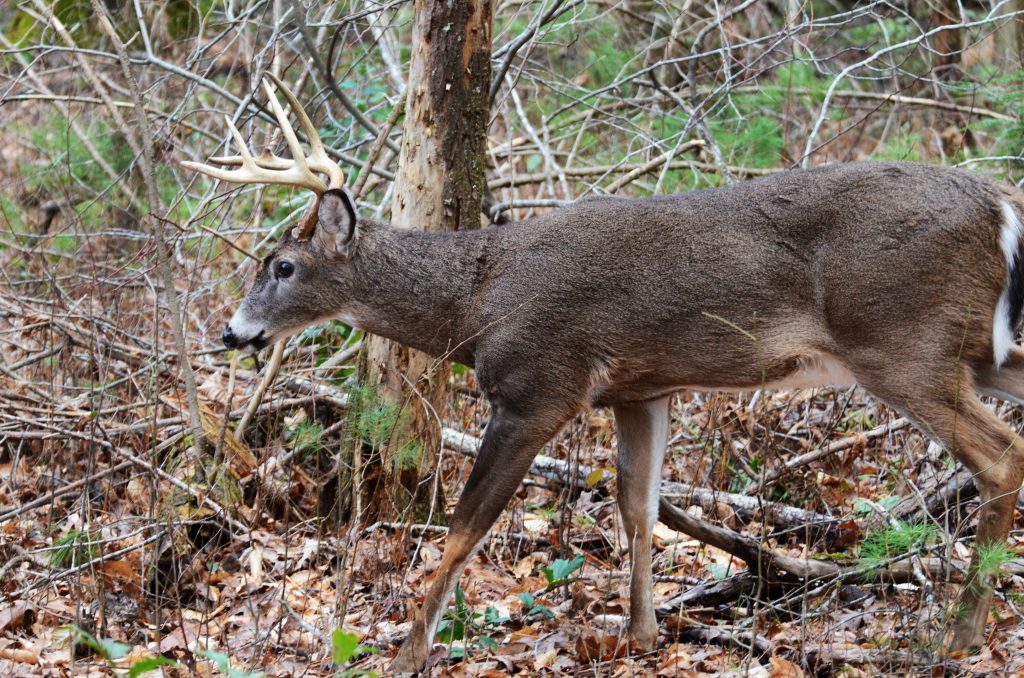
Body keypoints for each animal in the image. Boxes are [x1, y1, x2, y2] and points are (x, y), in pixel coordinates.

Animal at [183, 76, 1024, 672]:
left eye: (282, 265)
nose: (231, 332)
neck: (480, 300)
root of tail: (999, 201)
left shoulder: (538, 384)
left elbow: (464, 527)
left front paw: (408, 651)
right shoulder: (641, 390)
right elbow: (638, 511)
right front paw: (644, 634)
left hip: (902, 342)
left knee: (1001, 456)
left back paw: (960, 636)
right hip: (980, 348)